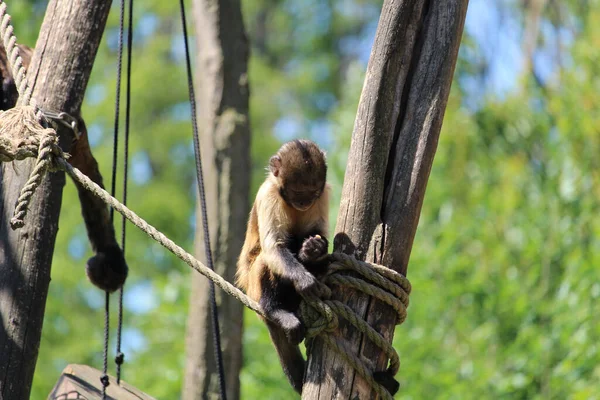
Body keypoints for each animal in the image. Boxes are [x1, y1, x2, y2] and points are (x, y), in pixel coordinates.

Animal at [236, 139, 330, 392]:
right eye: (297, 192)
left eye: (312, 192)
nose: (305, 202)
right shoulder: (268, 194)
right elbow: (274, 248)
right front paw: (304, 280)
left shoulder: (324, 193)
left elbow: (319, 235)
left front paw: (313, 249)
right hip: (255, 289)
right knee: (266, 259)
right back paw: (276, 310)